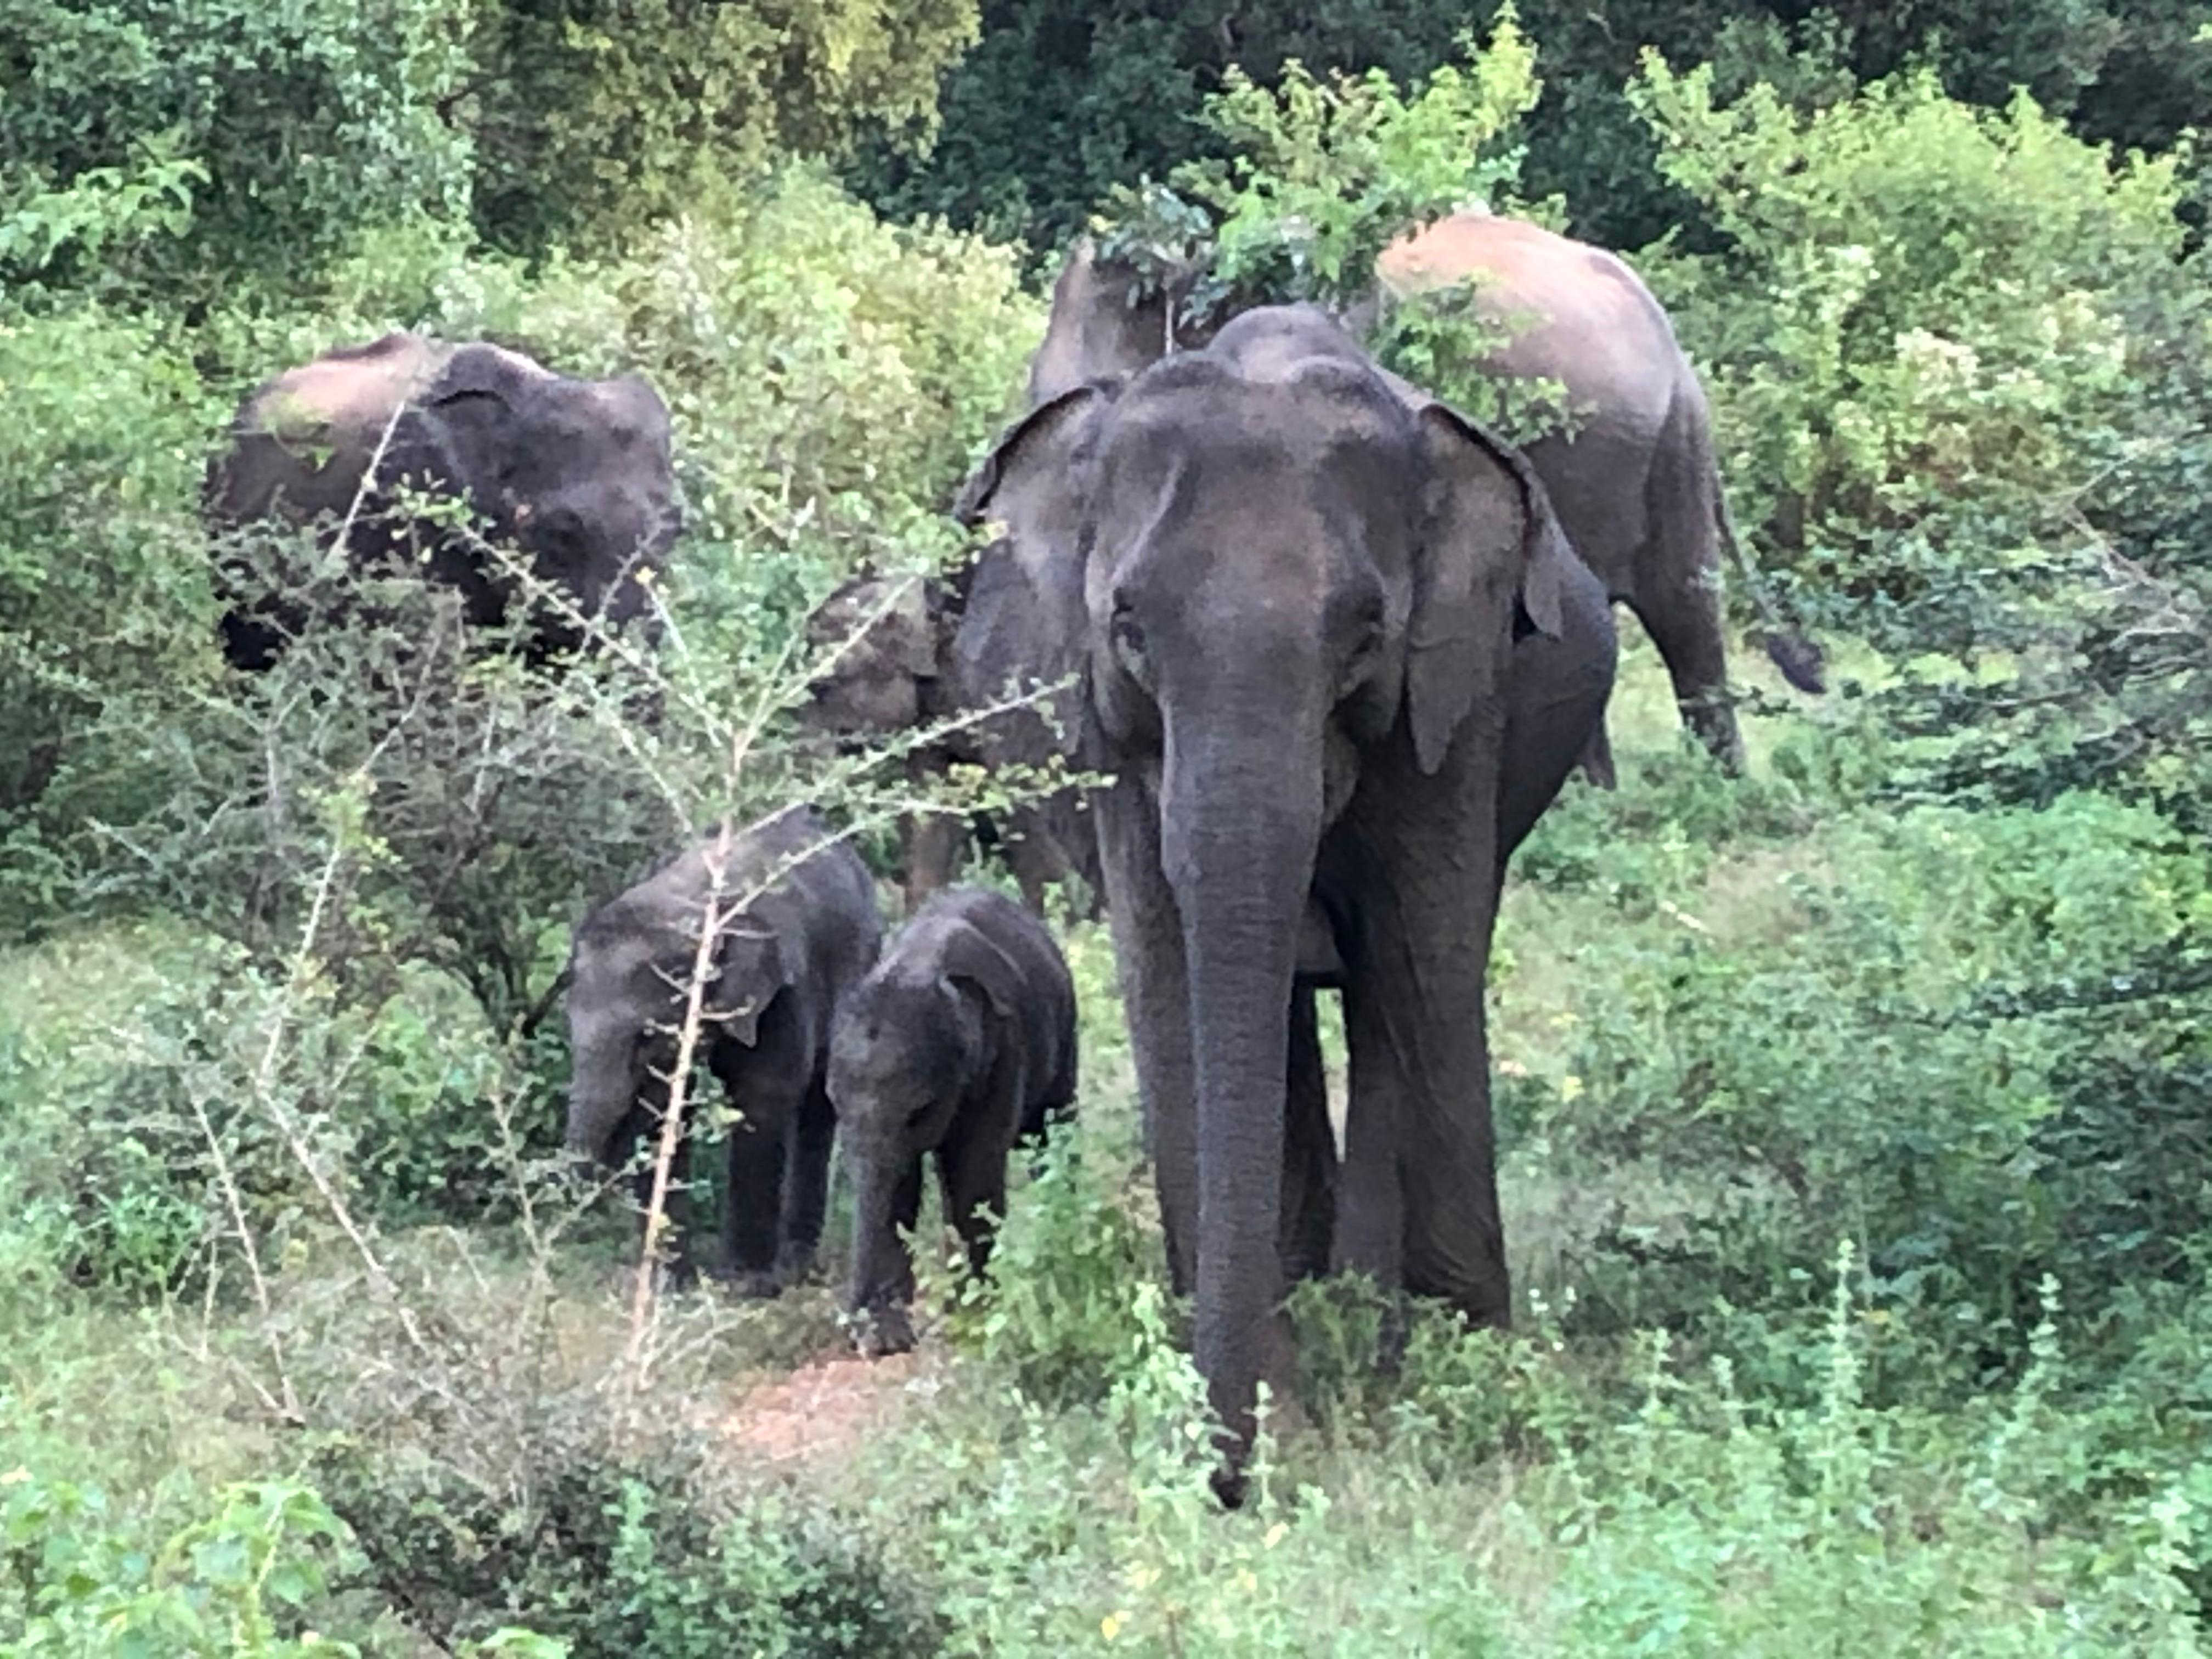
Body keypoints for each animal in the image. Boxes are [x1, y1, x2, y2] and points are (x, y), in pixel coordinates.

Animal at [562, 814, 880, 1291]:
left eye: (646, 1036)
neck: (693, 899)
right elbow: (663, 1110)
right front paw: (669, 1286)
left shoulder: (782, 990)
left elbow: (761, 1097)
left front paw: (744, 1286)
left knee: (818, 1105)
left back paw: (795, 1265)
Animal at [827, 889, 1075, 1353]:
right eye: (834, 1103)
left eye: (919, 1111)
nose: (852, 1331)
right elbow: (901, 1182)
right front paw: (889, 1338)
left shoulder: (1004, 1052)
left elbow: (973, 1170)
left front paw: (973, 1314)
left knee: (1054, 1130)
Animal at [960, 305, 1619, 1504]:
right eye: (1128, 627)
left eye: (1363, 635)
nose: (1231, 1485)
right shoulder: (1116, 737)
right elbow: (1169, 977)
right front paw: (1268, 1389)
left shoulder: (1455, 695)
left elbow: (1421, 955)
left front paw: (1460, 1374)